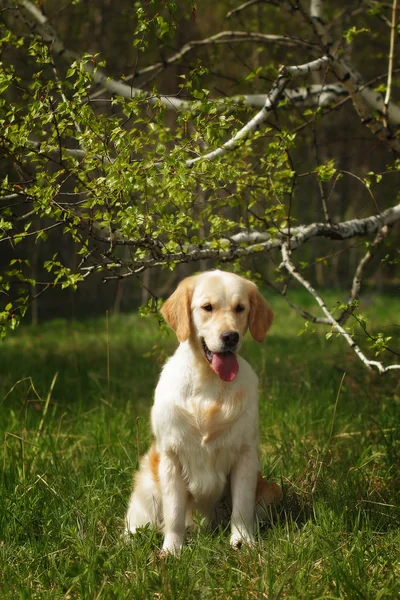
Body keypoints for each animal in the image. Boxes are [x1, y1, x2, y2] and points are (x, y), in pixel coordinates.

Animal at [125, 270, 282, 556]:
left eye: (240, 308)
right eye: (207, 307)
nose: (230, 337)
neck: (209, 383)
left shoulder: (245, 455)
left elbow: (242, 507)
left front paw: (242, 541)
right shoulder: (171, 457)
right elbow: (174, 513)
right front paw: (172, 549)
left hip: (270, 491)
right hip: (147, 491)